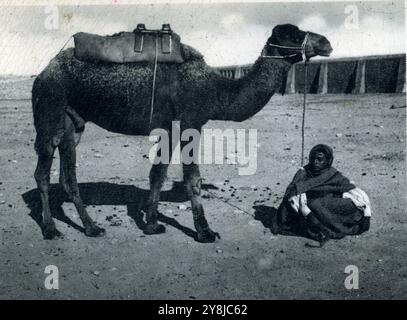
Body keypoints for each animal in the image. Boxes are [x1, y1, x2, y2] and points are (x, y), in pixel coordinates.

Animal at [31, 23, 332, 241]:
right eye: (294, 35)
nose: (326, 43)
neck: (217, 90)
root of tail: (43, 72)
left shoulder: (169, 126)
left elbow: (158, 174)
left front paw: (152, 225)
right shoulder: (191, 121)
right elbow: (192, 178)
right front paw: (205, 232)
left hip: (73, 123)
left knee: (67, 175)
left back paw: (91, 227)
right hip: (50, 109)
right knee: (43, 172)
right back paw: (51, 230)